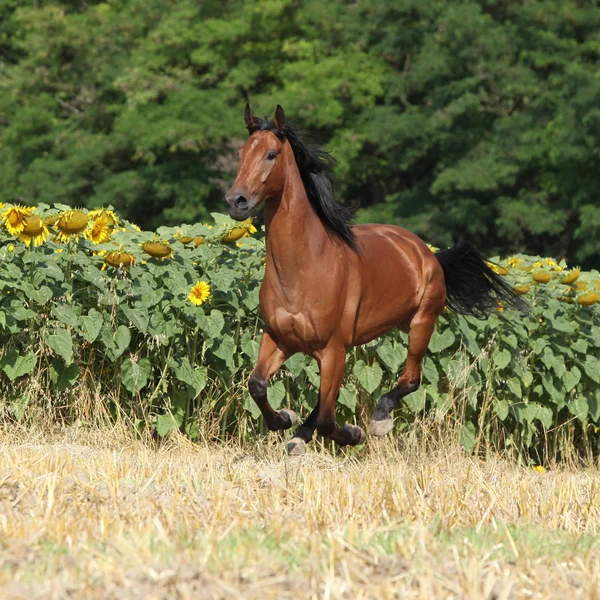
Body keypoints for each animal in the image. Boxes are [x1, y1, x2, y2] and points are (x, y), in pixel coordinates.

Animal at [225, 105, 524, 458]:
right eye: (242, 153)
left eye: (271, 154)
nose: (236, 201)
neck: (303, 269)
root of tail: (427, 253)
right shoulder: (279, 338)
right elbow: (257, 385)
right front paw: (285, 419)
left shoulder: (332, 349)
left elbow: (327, 419)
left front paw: (353, 434)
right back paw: (300, 435)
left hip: (421, 323)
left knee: (410, 379)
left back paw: (378, 419)